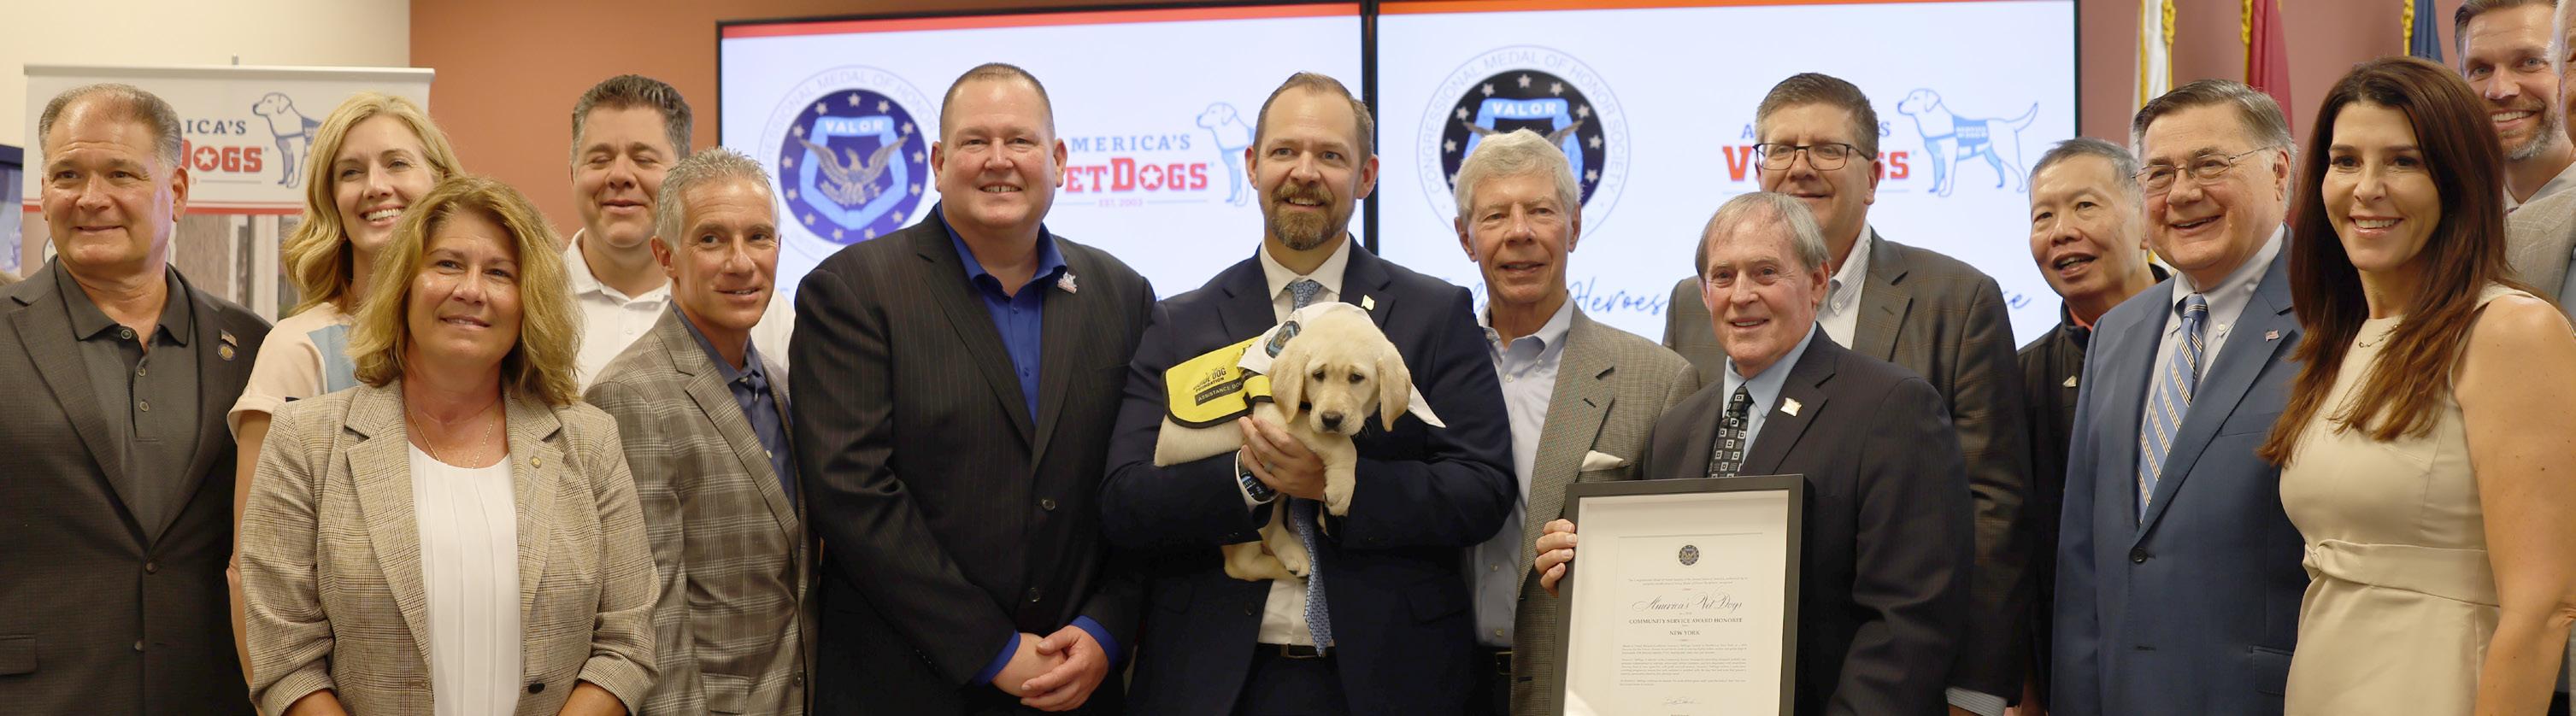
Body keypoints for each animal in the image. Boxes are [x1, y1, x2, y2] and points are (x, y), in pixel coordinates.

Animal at [1152, 304, 1434, 582]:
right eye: (1318, 375)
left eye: (1356, 378)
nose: (1331, 419)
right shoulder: (1274, 416)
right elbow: (1340, 445)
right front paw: (1342, 490)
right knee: (1240, 564)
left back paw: (1294, 557)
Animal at [1894, 88, 2038, 196]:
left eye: (1915, 98)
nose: (1899, 104)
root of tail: (2009, 124)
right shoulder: (1936, 157)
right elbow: (1938, 175)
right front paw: (1935, 189)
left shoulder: (1949, 156)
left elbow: (1948, 176)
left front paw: (1945, 192)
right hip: (1990, 154)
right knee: (2000, 168)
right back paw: (2001, 184)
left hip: (2006, 152)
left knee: (2021, 169)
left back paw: (2022, 188)